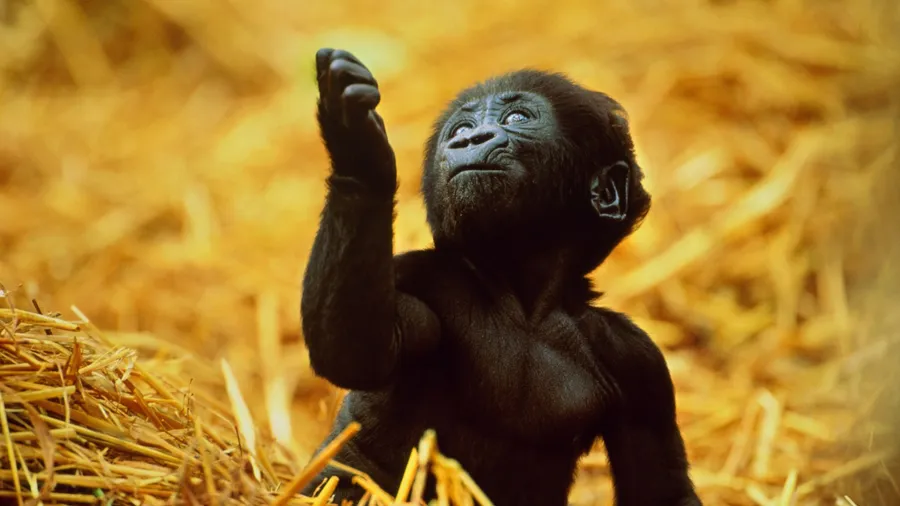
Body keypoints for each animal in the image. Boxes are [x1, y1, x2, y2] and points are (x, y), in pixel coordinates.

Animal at [299, 48, 702, 506]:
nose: (470, 140)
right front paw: (358, 151)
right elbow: (358, 351)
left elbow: (660, 488)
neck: (523, 297)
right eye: (461, 128)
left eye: (517, 118)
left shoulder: (635, 358)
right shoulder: (421, 275)